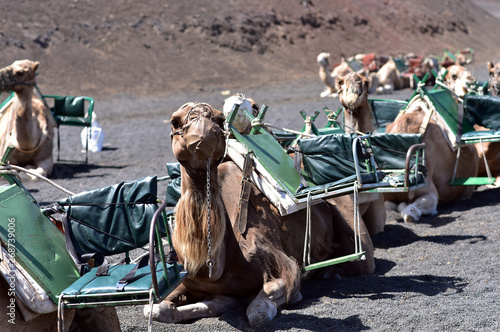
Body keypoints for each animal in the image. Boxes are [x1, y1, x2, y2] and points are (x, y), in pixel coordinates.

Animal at [145, 102, 376, 326]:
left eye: (220, 119)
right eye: (175, 121)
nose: (204, 130)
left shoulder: (283, 265)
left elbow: (258, 314)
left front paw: (293, 297)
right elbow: (155, 309)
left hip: (347, 210)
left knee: (363, 260)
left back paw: (332, 273)